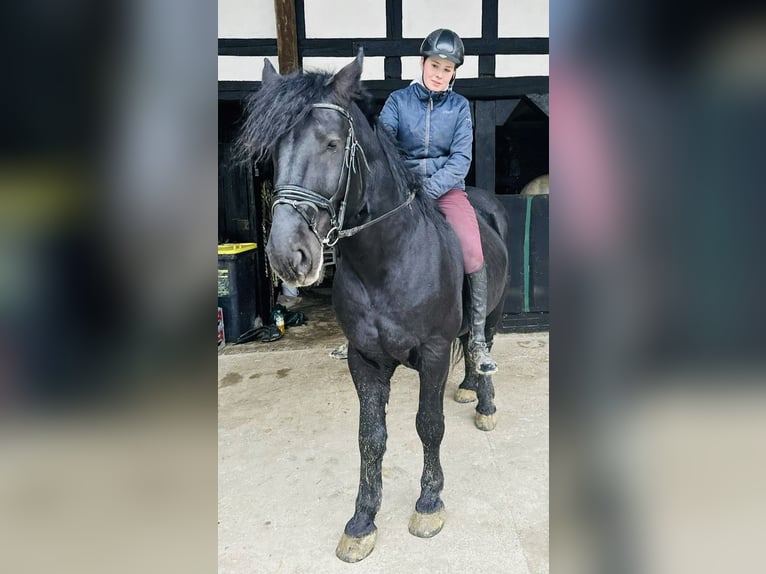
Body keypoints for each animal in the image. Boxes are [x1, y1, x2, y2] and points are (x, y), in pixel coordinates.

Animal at [234, 51, 510, 564]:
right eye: (275, 151)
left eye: (331, 143)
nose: (286, 255)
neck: (388, 261)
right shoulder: (365, 361)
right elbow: (370, 438)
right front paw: (362, 521)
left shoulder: (433, 353)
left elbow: (428, 425)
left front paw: (428, 502)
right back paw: (465, 389)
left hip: (496, 314)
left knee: (482, 345)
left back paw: (483, 402)